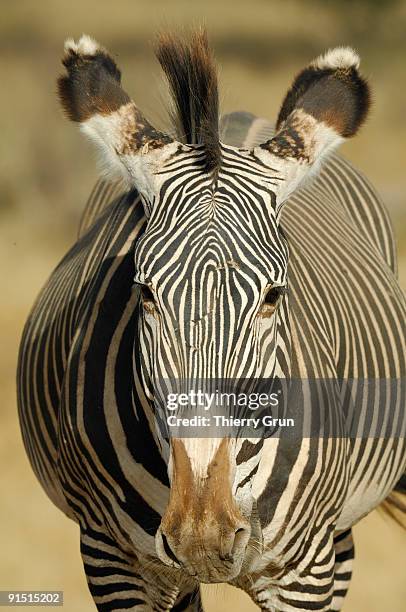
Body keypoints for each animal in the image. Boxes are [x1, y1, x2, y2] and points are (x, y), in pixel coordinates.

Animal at [16, 29, 406, 612]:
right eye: (145, 293)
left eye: (273, 296)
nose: (203, 535)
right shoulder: (113, 563)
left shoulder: (305, 574)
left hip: (336, 540)